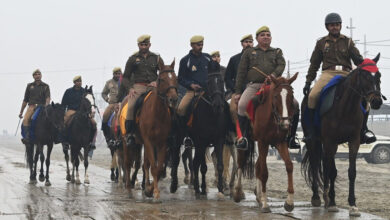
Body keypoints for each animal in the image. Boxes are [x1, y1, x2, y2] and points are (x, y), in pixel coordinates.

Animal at [232, 73, 298, 213]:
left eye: (291, 96)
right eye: (276, 96)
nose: (285, 124)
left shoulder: (280, 142)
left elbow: (289, 166)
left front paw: (289, 202)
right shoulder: (263, 142)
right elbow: (264, 172)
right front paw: (266, 205)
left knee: (257, 166)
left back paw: (259, 196)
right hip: (245, 140)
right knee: (240, 163)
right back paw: (238, 193)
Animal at [302, 54, 384, 216]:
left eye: (378, 75)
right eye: (365, 76)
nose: (377, 102)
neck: (346, 107)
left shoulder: (354, 142)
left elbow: (351, 172)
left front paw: (352, 204)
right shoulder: (331, 141)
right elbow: (332, 172)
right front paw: (334, 203)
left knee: (324, 164)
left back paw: (326, 197)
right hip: (313, 141)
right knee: (315, 164)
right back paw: (317, 197)